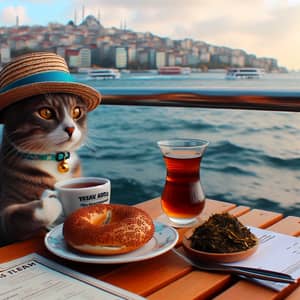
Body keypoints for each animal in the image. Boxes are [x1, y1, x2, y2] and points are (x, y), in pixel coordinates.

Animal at [0, 92, 87, 245]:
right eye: (46, 113)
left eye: (76, 111)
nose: (71, 129)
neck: (51, 157)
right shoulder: (4, 218)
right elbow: (16, 217)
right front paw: (50, 202)